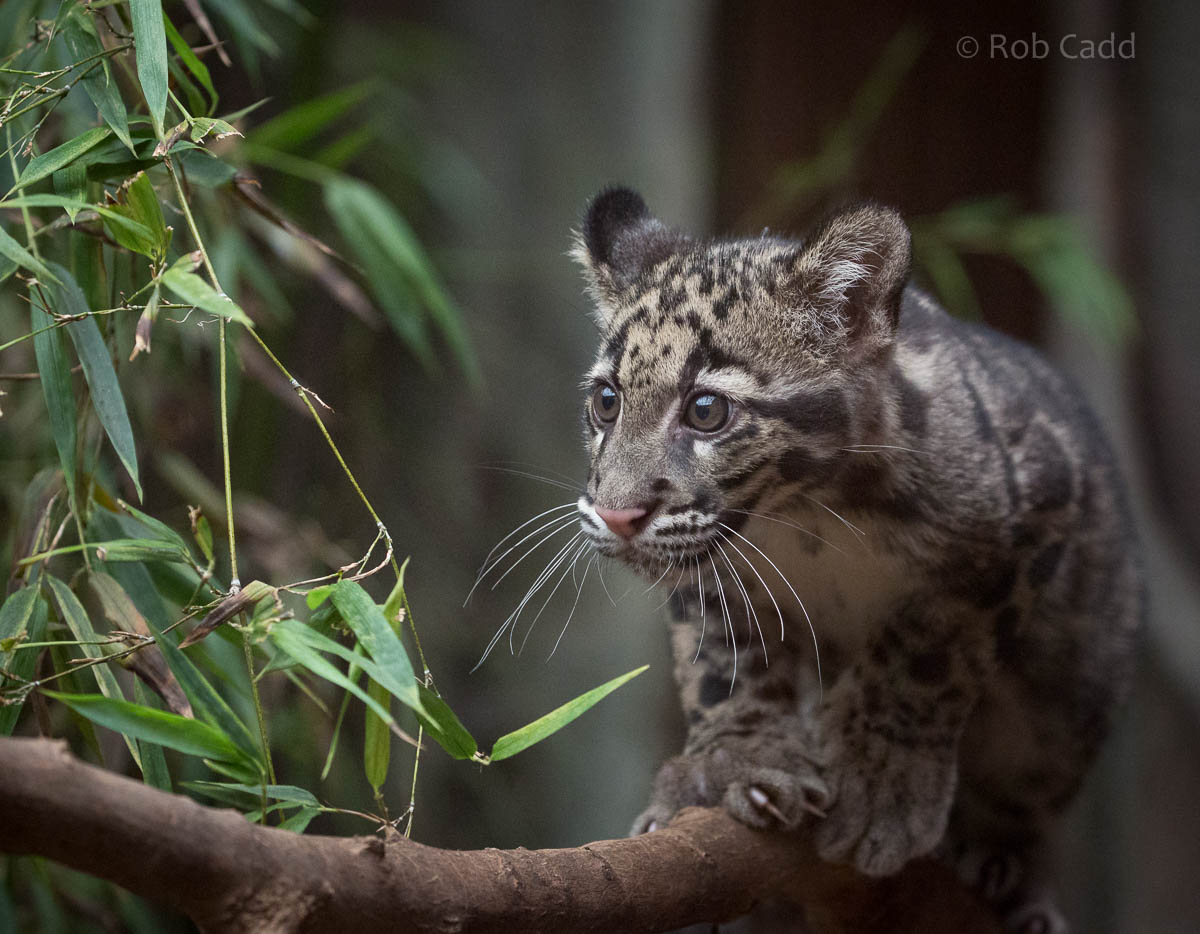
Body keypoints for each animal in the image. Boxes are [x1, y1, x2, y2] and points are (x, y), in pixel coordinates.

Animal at [569, 186, 1142, 932]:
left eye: (706, 410)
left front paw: (880, 783)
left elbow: (923, 658)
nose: (617, 513)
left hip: (1073, 692)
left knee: (1030, 791)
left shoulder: (1028, 515)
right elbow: (722, 662)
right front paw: (738, 760)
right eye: (606, 401)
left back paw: (1007, 871)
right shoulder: (710, 573)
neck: (802, 518)